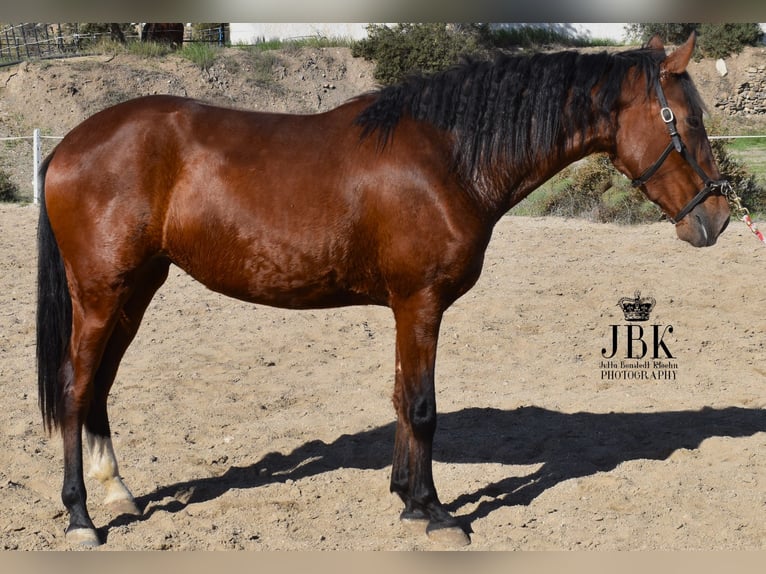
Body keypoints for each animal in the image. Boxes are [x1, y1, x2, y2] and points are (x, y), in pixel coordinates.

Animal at [36, 35, 732, 548]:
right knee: (74, 388)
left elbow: (402, 400)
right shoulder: (419, 302)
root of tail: (68, 144)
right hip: (101, 295)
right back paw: (82, 518)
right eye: (689, 120)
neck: (450, 156)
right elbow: (422, 406)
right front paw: (436, 512)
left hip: (135, 290)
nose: (719, 219)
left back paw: (117, 491)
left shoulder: (406, 307)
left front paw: (407, 501)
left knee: (99, 387)